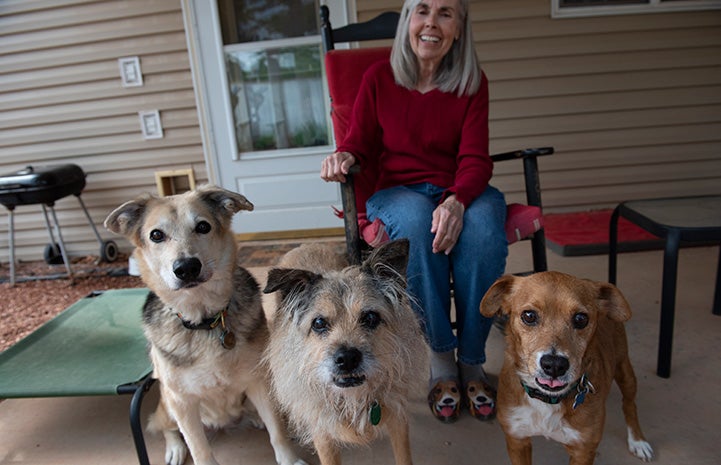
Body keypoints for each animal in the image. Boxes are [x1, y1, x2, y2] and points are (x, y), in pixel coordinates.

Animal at [104, 185, 304, 464]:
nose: (186, 267)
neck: (204, 321)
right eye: (156, 235)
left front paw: (289, 458)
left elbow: (277, 432)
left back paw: (254, 417)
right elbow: (199, 447)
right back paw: (175, 449)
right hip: (167, 403)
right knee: (165, 427)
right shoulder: (182, 402)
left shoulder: (259, 382)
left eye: (202, 227)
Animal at [478, 270, 652, 464]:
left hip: (625, 371)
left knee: (629, 405)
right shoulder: (517, 441)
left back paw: (638, 441)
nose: (554, 365)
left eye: (581, 319)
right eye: (529, 316)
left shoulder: (583, 451)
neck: (547, 400)